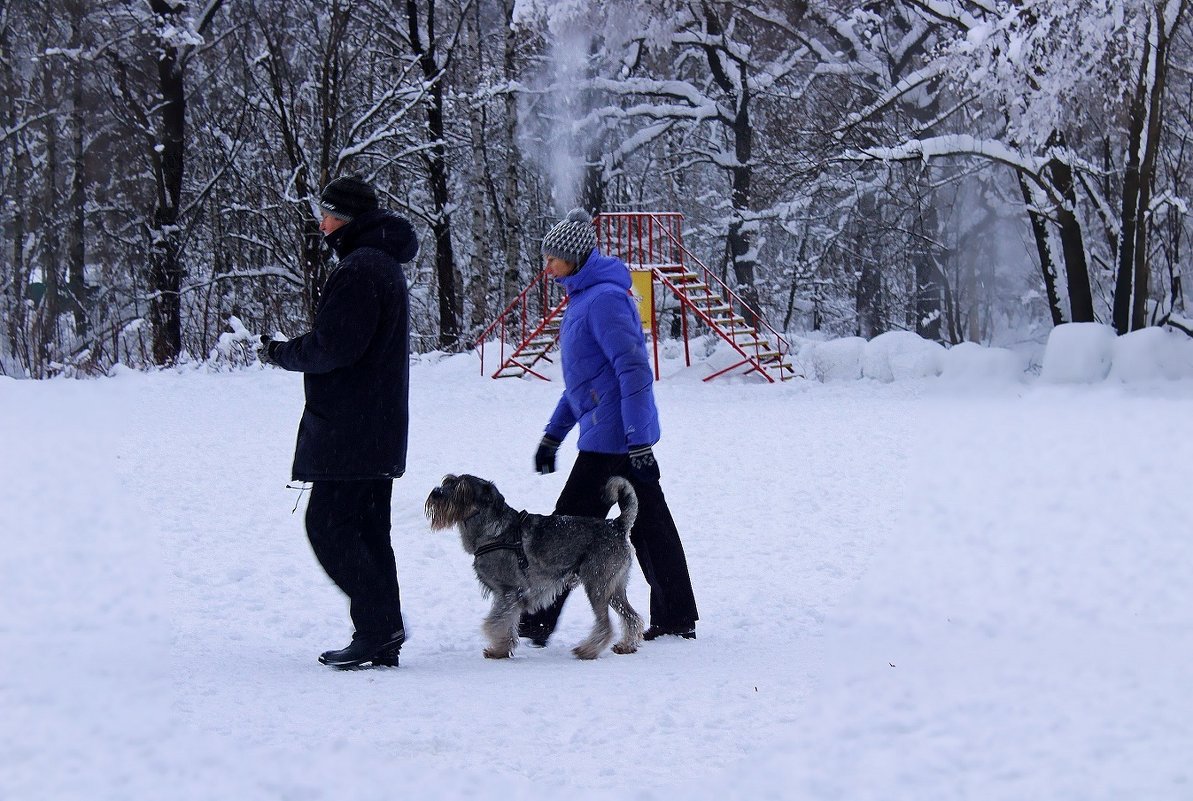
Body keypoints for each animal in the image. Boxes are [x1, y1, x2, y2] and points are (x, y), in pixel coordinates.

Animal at [427, 472, 644, 658]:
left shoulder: (510, 591)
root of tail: (616, 525)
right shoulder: (507, 596)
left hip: (596, 587)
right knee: (632, 617)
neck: (493, 533)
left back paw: (587, 651)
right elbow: (507, 622)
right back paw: (626, 646)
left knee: (605, 625)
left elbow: (495, 622)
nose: (436, 493)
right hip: (614, 589)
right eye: (448, 481)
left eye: (462, 489)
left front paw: (498, 647)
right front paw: (501, 649)